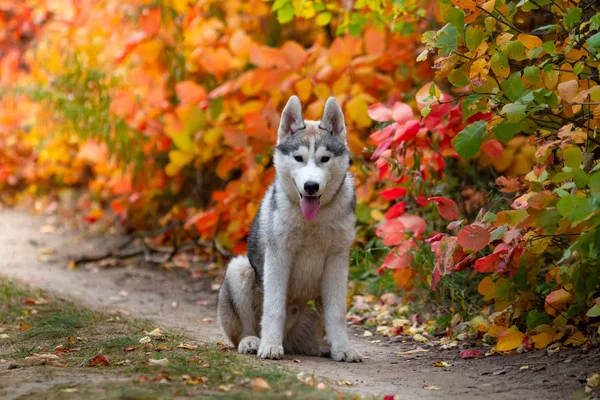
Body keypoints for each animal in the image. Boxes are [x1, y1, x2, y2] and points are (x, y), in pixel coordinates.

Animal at [218, 95, 364, 360]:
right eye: (299, 158)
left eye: (324, 159)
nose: (311, 186)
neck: (313, 221)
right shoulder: (279, 256)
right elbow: (274, 307)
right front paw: (270, 345)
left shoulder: (337, 259)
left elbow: (337, 312)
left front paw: (343, 349)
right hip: (239, 269)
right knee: (245, 328)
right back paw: (252, 341)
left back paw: (319, 347)